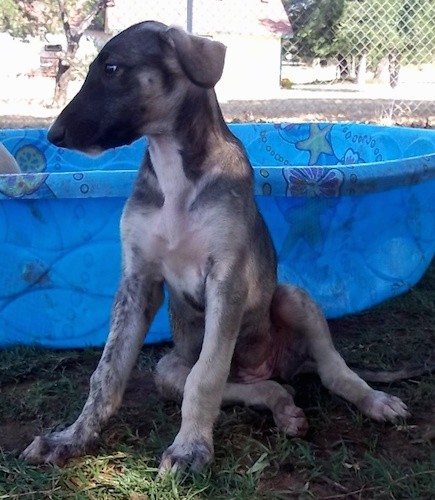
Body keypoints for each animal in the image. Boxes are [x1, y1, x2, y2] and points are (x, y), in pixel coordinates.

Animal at [20, 20, 408, 472]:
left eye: (112, 68)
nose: (53, 135)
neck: (175, 173)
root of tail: (283, 367)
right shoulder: (137, 282)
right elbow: (108, 373)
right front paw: (71, 438)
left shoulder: (226, 280)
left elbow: (206, 376)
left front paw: (190, 448)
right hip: (169, 367)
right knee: (246, 386)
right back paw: (283, 406)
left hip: (293, 297)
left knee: (331, 372)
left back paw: (374, 400)